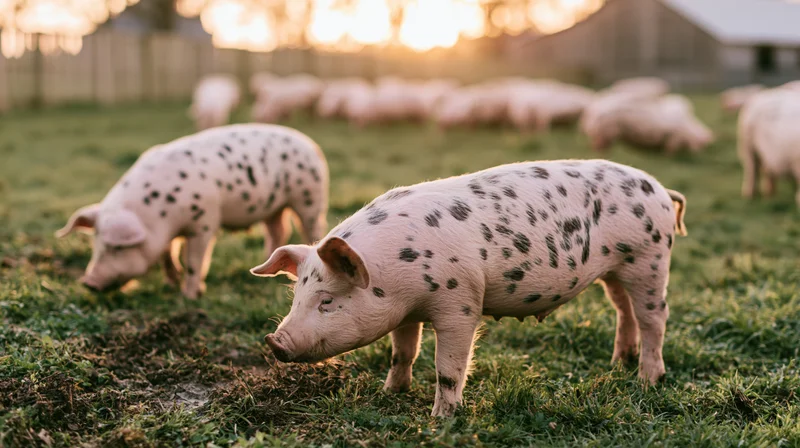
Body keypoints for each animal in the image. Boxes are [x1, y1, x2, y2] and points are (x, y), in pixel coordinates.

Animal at [57, 124, 329, 299]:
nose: (88, 282)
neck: (161, 215)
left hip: (310, 196)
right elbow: (167, 255)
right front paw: (170, 283)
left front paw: (190, 296)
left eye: (118, 248)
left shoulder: (205, 221)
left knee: (312, 226)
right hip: (273, 206)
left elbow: (194, 259)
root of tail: (312, 145)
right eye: (96, 244)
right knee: (277, 229)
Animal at [251, 159, 687, 417]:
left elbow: (448, 367)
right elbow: (402, 352)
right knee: (623, 310)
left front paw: (439, 419)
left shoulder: (459, 303)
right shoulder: (405, 313)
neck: (396, 276)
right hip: (616, 270)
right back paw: (618, 364)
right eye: (296, 296)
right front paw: (391, 393)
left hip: (649, 259)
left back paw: (647, 380)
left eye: (327, 300)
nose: (274, 342)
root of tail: (661, 189)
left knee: (655, 316)